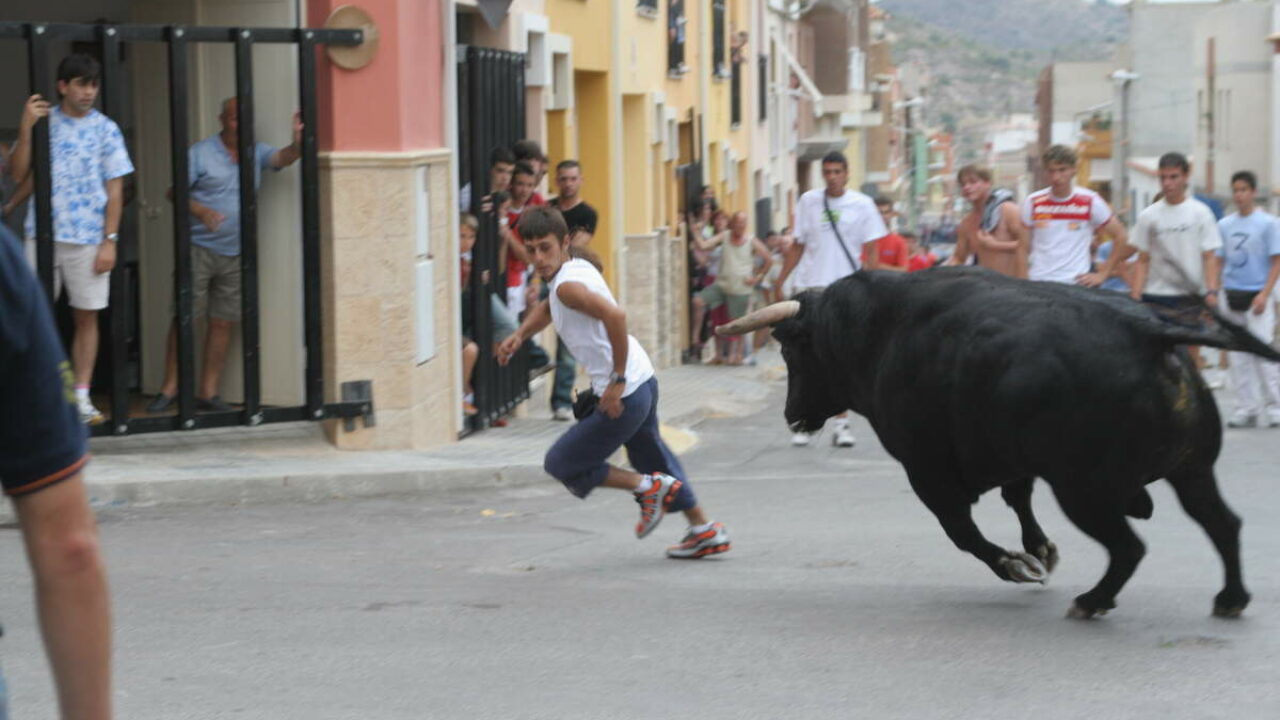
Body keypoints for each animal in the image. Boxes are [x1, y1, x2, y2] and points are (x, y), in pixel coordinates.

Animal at [719, 266, 1280, 619]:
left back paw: (1092, 601)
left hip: (1083, 491)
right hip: (1192, 470)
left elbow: (963, 533)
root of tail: (1147, 330)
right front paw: (1040, 551)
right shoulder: (1008, 458)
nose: (792, 415)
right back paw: (1230, 598)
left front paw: (1018, 565)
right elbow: (1018, 500)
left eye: (790, 349)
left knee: (1129, 547)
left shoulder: (927, 472)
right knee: (1221, 523)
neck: (875, 331)